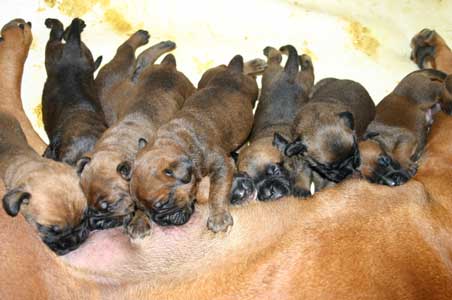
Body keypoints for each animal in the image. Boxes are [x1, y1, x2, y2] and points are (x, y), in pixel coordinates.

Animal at [41, 18, 107, 166]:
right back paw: (52, 23)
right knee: (56, 35)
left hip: (85, 54)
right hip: (52, 53)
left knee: (63, 35)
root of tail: (73, 46)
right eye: (62, 162)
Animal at [129, 54, 260, 237]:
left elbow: (218, 191)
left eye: (164, 203)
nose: (160, 221)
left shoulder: (222, 164)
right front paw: (139, 220)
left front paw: (218, 217)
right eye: (140, 207)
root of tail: (232, 71)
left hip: (252, 87)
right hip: (208, 76)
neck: (178, 142)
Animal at [231, 45, 312, 204]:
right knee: (279, 59)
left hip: (302, 80)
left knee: (297, 63)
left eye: (275, 170)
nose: (269, 192)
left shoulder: (304, 162)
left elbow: (303, 175)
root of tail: (288, 74)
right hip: (276, 75)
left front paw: (301, 189)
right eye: (252, 181)